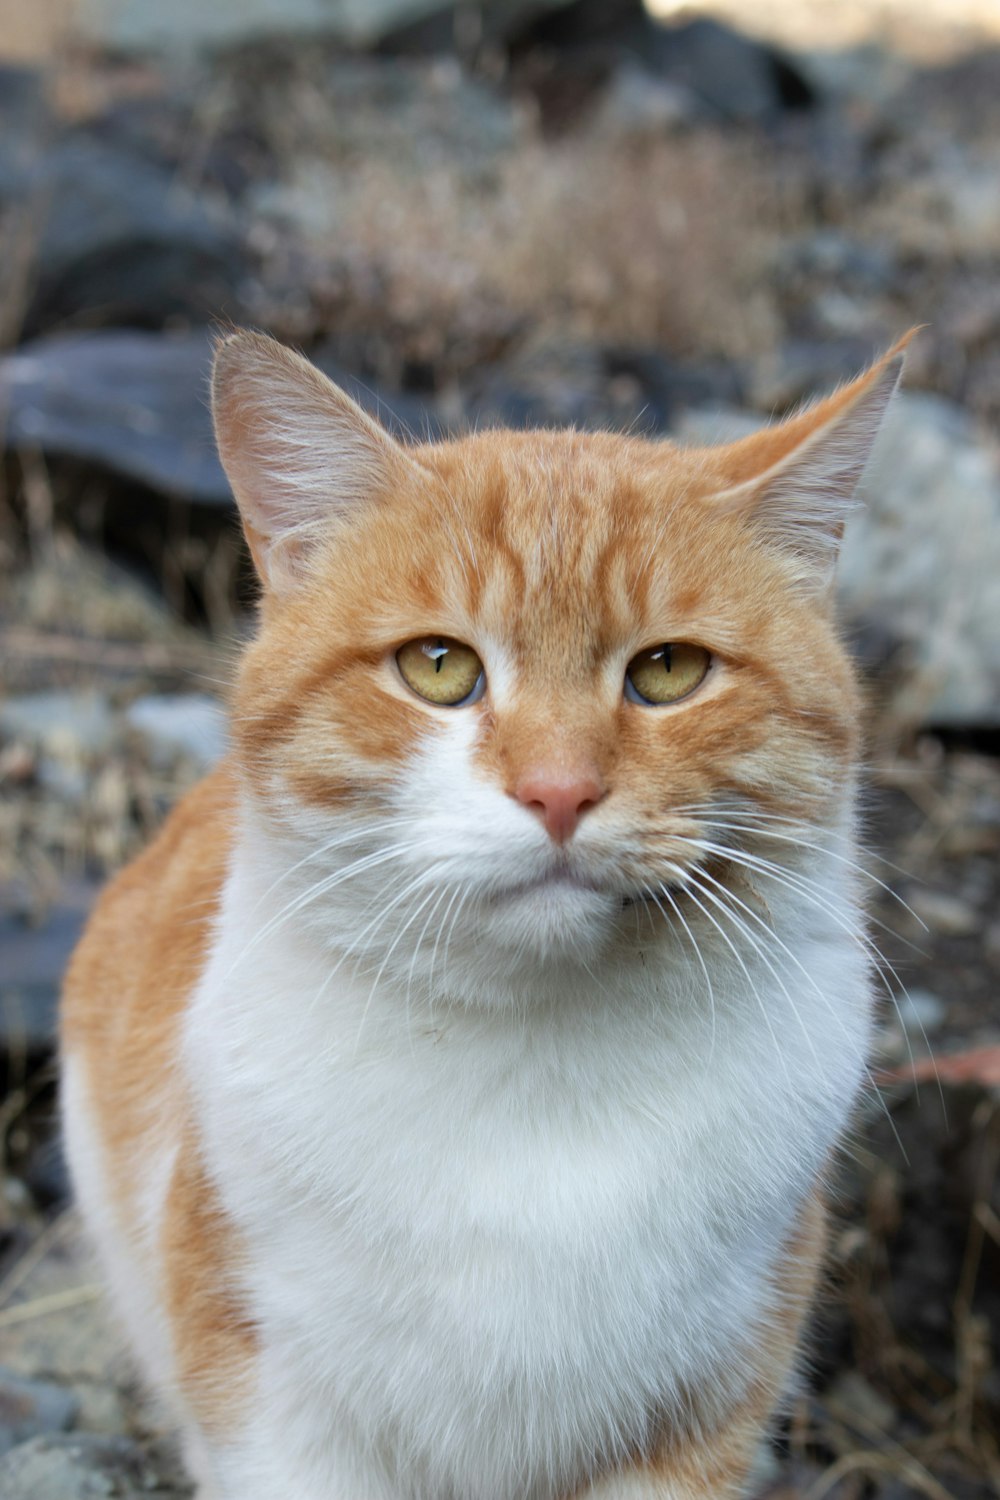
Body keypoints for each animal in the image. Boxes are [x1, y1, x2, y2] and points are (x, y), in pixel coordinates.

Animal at [58, 331, 911, 1500]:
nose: (558, 791)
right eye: (439, 666)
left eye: (669, 670)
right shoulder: (277, 1409)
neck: (534, 1064)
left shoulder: (696, 1418)